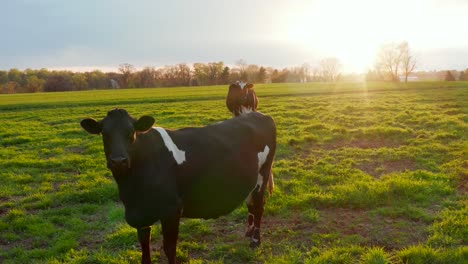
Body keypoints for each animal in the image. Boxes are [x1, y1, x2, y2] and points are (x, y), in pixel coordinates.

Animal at [81, 108, 274, 262]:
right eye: (104, 134)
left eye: (132, 133)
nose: (118, 161)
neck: (132, 189)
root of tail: (260, 114)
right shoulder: (141, 214)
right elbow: (144, 246)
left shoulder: (172, 210)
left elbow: (169, 248)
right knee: (251, 204)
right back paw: (249, 232)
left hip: (262, 176)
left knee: (259, 207)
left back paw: (255, 241)